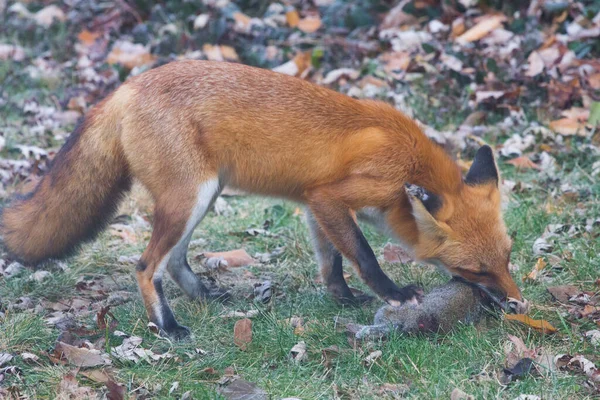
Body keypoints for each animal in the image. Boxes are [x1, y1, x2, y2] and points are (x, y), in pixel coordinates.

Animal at [0, 61, 524, 340]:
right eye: (476, 271)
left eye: (508, 257)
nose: (518, 304)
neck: (409, 163)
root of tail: (125, 88)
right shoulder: (335, 195)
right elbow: (365, 254)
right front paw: (393, 293)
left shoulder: (315, 202)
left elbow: (333, 260)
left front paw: (343, 298)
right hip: (190, 198)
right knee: (146, 266)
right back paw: (168, 327)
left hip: (201, 197)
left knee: (174, 260)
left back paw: (204, 296)